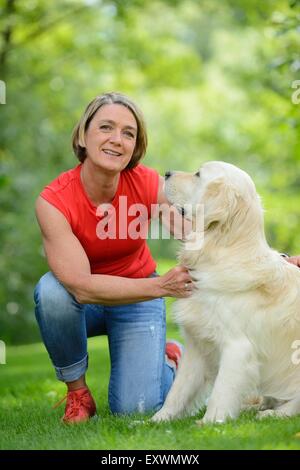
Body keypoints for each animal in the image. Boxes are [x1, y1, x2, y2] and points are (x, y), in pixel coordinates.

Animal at [151, 160, 300, 424]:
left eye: (198, 174)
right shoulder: (196, 346)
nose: (166, 173)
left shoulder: (237, 348)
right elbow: (177, 391)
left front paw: (209, 423)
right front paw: (157, 420)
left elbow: (221, 391)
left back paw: (272, 413)